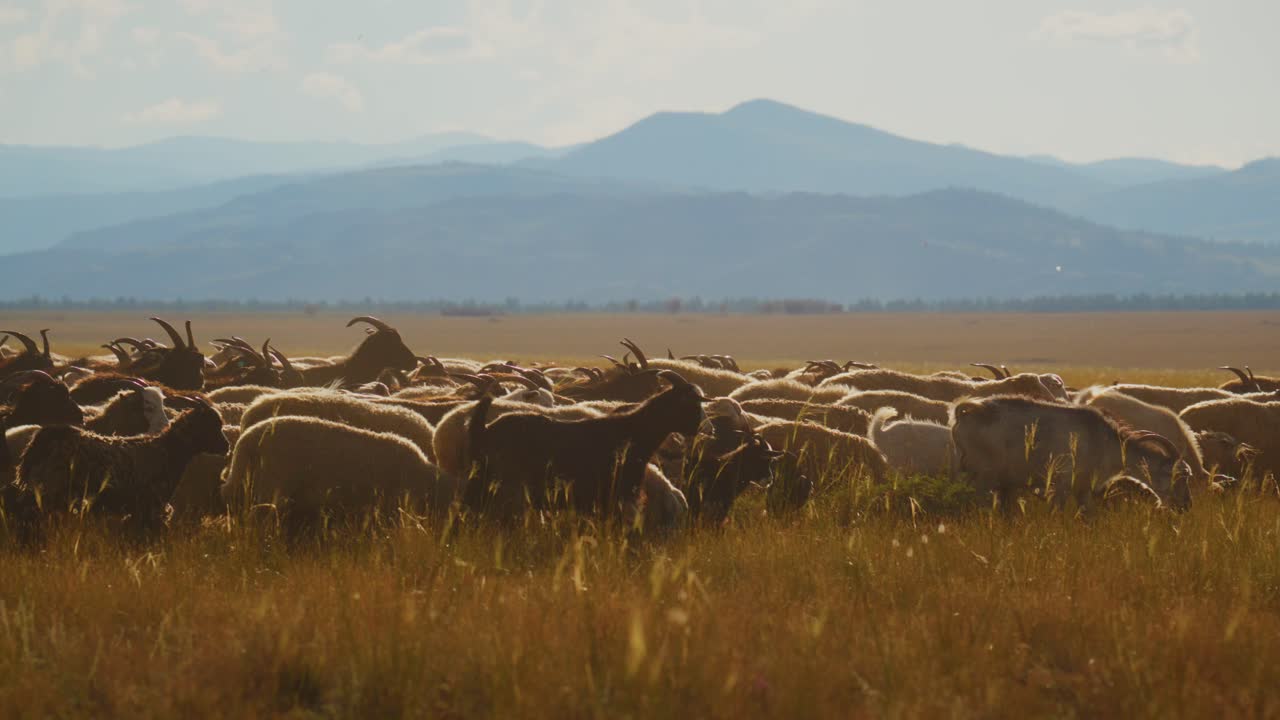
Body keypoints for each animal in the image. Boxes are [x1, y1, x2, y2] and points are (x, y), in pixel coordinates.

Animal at [951, 396, 1192, 512]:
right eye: (1179, 475)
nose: (1185, 507)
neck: (1105, 442)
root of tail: (965, 413)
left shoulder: (1082, 489)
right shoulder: (1062, 484)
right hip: (983, 476)